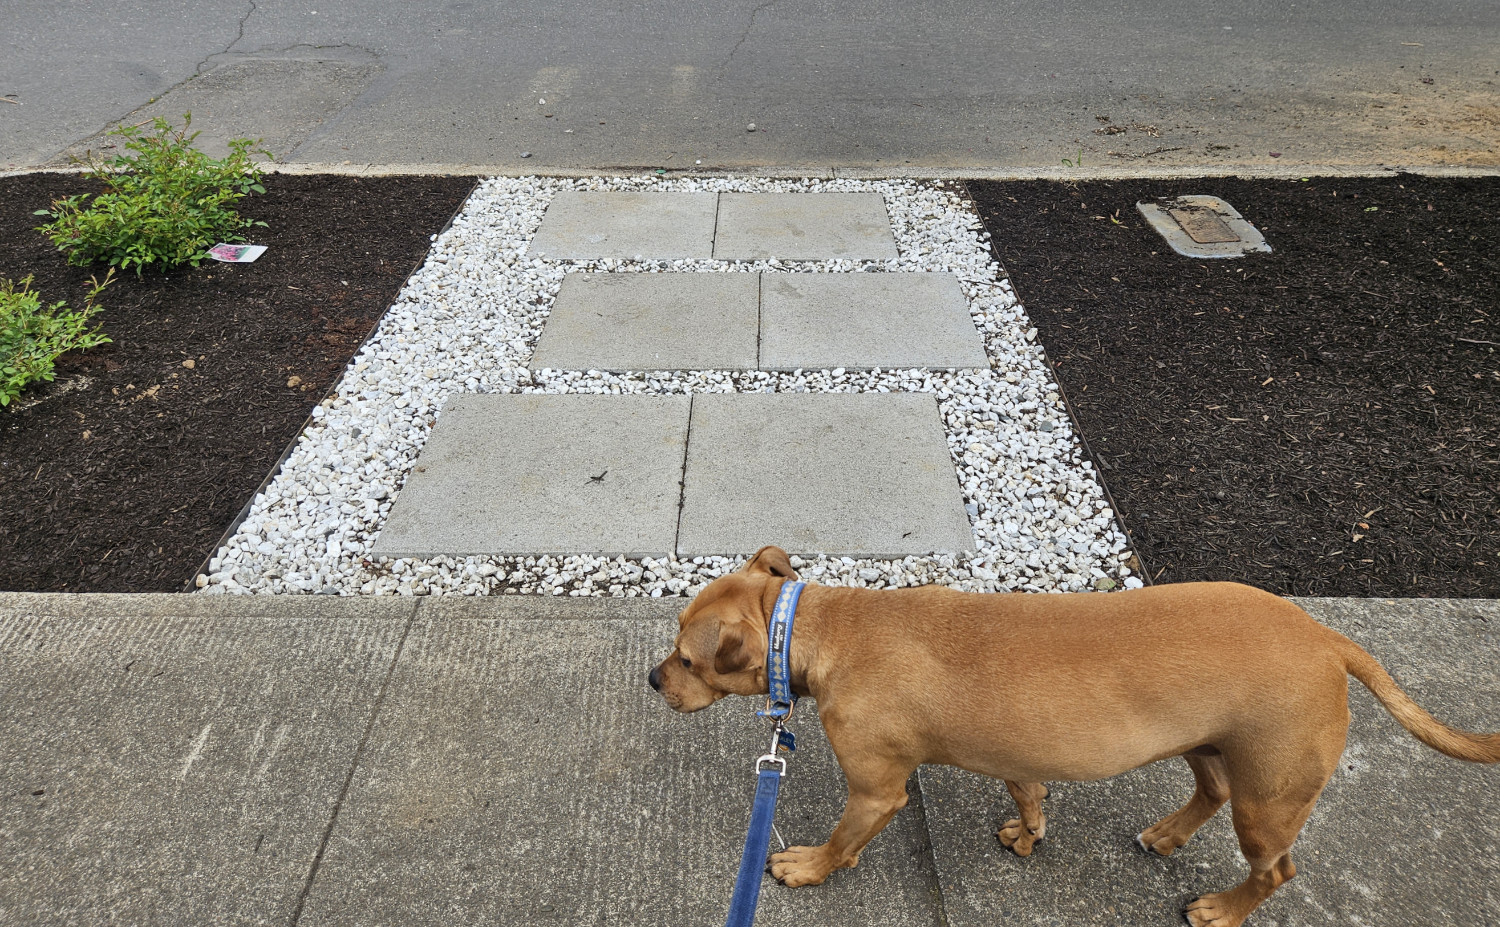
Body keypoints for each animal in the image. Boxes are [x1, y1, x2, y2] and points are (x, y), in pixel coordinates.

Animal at [648, 546, 1500, 918]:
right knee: (1211, 791)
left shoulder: (877, 790)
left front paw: (808, 867)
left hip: (1271, 801)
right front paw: (1028, 833)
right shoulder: (1015, 755)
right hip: (1209, 745)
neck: (822, 627)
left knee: (1275, 869)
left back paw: (1223, 908)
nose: (653, 679)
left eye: (687, 657)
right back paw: (1166, 834)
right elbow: (1029, 793)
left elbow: (841, 840)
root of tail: (1326, 636)